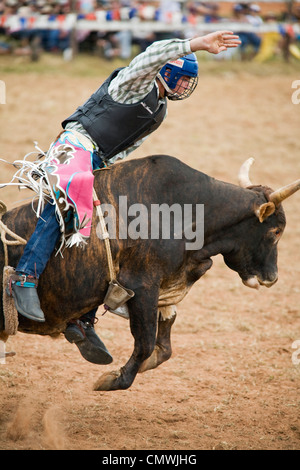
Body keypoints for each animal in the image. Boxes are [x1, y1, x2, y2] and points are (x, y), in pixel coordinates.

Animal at [0, 156, 300, 392]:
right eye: (275, 232)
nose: (272, 277)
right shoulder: (141, 286)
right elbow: (144, 341)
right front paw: (113, 379)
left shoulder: (163, 287)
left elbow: (164, 340)